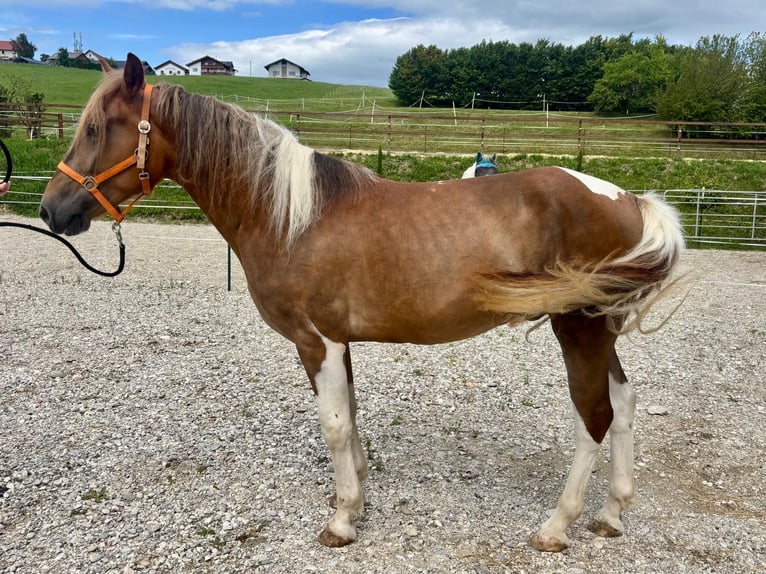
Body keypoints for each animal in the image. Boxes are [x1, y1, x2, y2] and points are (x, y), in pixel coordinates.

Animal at [39, 54, 684, 552]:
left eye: (98, 128)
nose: (52, 210)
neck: (290, 214)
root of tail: (629, 199)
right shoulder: (338, 343)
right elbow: (349, 416)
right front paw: (357, 496)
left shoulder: (316, 340)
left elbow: (331, 425)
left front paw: (342, 519)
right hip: (599, 329)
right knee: (624, 403)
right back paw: (610, 514)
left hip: (579, 329)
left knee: (594, 415)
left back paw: (556, 526)